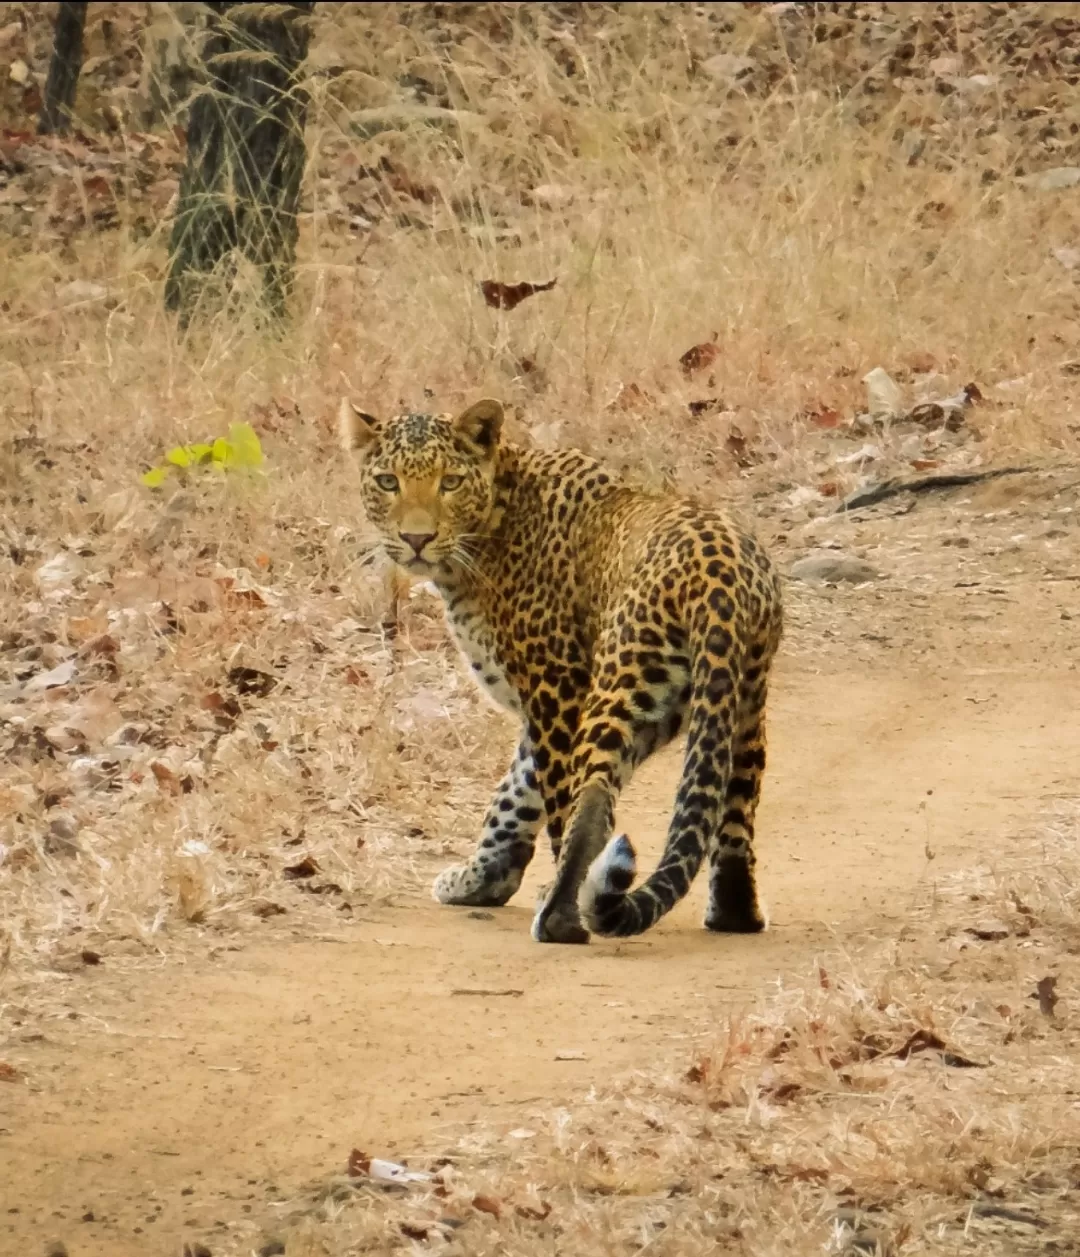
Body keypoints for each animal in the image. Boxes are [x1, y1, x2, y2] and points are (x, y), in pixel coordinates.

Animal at [341, 394, 779, 945]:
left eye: (450, 482)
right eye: (387, 481)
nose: (416, 538)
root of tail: (718, 581)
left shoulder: (553, 685)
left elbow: (543, 796)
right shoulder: (540, 700)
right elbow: (513, 795)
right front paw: (479, 879)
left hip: (620, 683)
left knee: (589, 805)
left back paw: (561, 916)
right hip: (742, 700)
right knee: (734, 808)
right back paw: (735, 916)